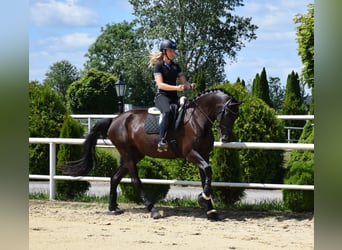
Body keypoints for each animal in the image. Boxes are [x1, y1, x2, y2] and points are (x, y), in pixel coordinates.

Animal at [63, 89, 240, 220]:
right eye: (227, 113)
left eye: (236, 116)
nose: (226, 138)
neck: (197, 119)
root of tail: (115, 119)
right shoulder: (191, 154)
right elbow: (208, 170)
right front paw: (203, 200)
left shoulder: (204, 154)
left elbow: (206, 177)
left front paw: (209, 209)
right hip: (127, 154)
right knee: (135, 180)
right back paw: (152, 209)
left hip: (135, 154)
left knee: (115, 177)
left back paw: (113, 207)